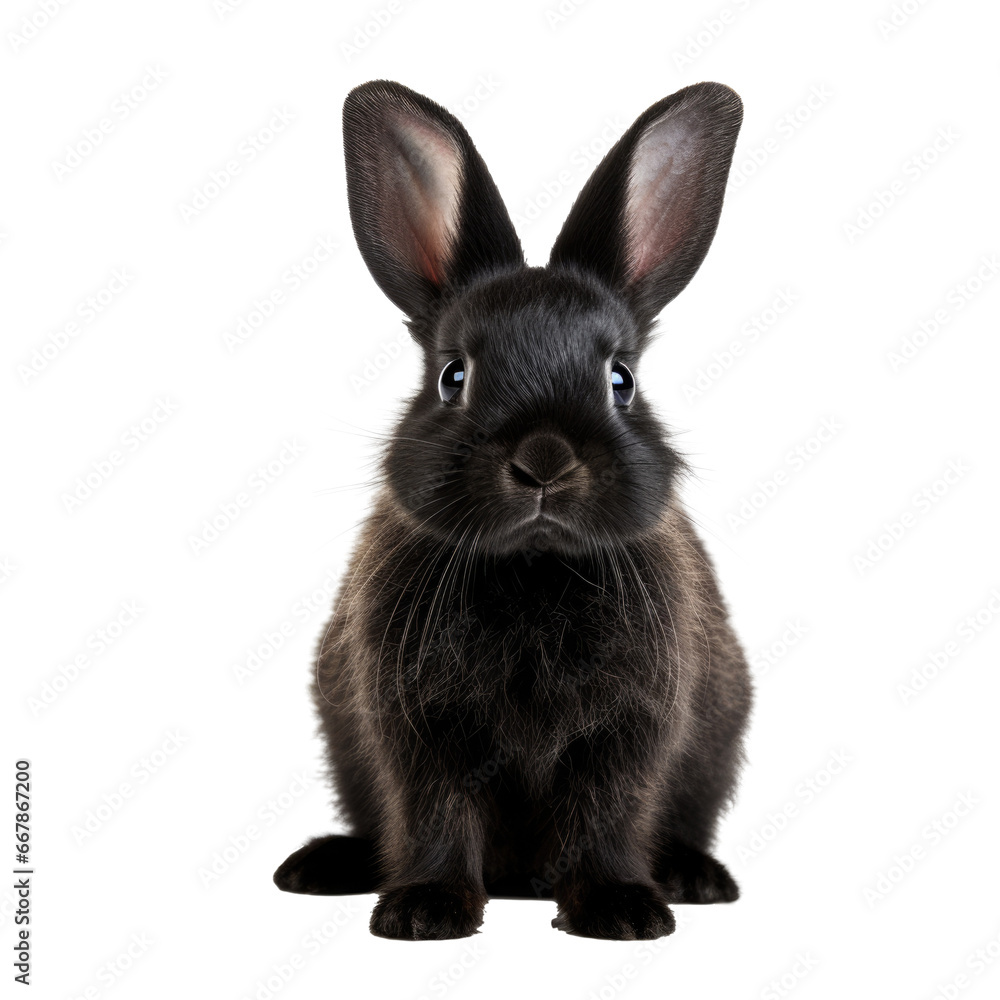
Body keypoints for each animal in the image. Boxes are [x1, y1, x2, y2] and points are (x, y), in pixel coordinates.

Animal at [274, 79, 753, 941]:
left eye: (622, 379)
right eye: (453, 377)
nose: (544, 462)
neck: (534, 569)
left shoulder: (627, 735)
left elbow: (609, 814)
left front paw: (622, 913)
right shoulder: (420, 732)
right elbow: (436, 813)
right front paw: (424, 912)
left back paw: (696, 878)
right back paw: (322, 866)